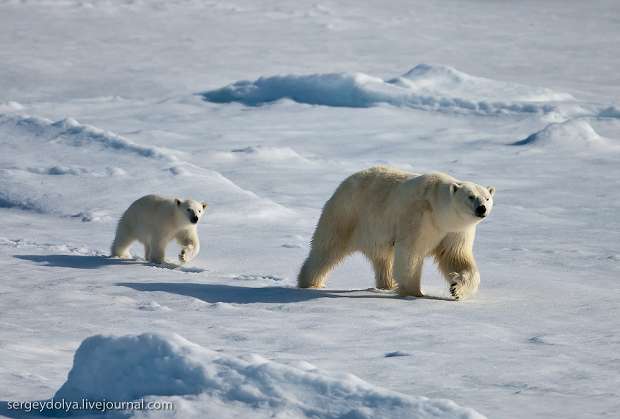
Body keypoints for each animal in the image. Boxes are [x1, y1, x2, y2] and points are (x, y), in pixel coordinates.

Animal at [298, 166, 496, 300]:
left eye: (487, 197)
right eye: (471, 196)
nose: (482, 209)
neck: (438, 211)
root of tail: (343, 183)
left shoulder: (455, 231)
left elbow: (456, 257)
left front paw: (456, 288)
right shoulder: (418, 218)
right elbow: (411, 252)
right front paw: (414, 293)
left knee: (383, 259)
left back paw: (386, 285)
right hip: (348, 215)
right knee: (327, 249)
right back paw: (310, 283)